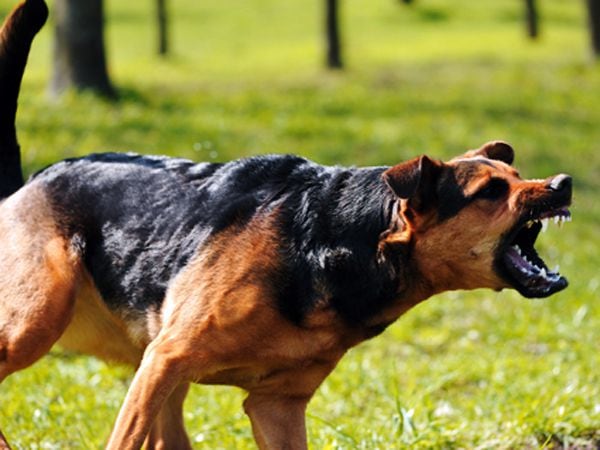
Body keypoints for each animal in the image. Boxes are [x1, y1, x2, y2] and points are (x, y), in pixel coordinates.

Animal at [0, 1, 572, 448]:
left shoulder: (274, 404)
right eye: (491, 191)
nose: (563, 183)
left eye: (516, 175)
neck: (338, 243)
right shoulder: (167, 360)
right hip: (39, 322)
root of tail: (28, 182)